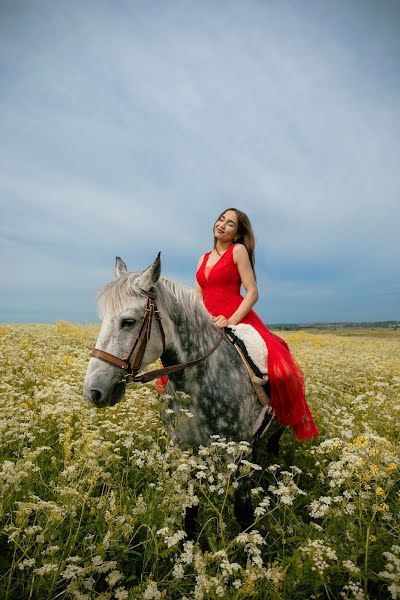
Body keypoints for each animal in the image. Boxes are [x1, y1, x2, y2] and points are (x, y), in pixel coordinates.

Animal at [83, 253, 282, 528]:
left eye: (128, 322)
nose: (93, 390)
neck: (199, 387)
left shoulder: (237, 457)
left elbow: (243, 514)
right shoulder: (186, 455)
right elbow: (190, 513)